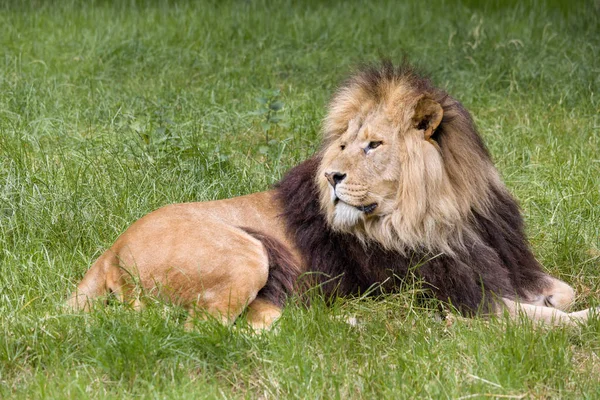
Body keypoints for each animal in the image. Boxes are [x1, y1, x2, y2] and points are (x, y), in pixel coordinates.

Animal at [69, 60, 596, 328]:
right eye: (343, 145)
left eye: (373, 145)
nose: (332, 177)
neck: (445, 214)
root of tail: (110, 250)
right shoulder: (446, 295)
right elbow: (535, 318)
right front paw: (582, 322)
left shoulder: (503, 264)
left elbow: (562, 293)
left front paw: (563, 303)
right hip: (251, 253)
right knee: (207, 329)